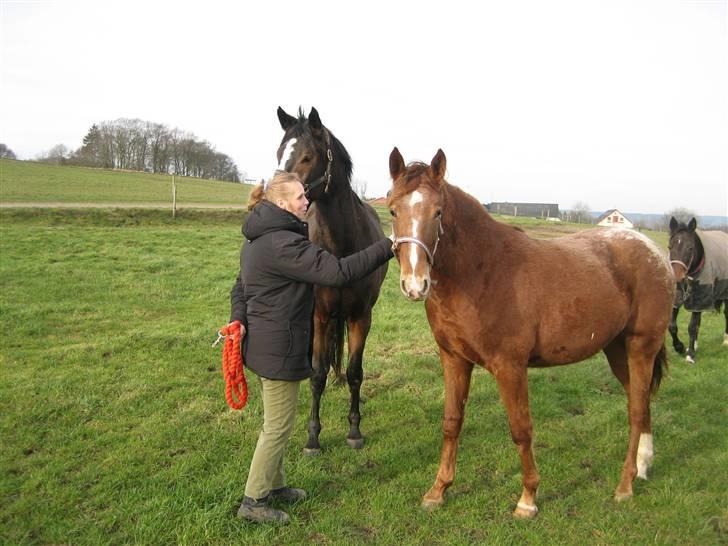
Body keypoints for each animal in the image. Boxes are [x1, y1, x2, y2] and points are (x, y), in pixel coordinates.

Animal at [274, 105, 386, 450]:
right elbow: (317, 373)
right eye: (279, 153)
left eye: (308, 157)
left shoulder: (361, 316)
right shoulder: (320, 315)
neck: (341, 247)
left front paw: (354, 430)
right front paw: (313, 436)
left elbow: (355, 372)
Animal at [386, 148, 676, 516]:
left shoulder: (510, 367)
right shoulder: (453, 359)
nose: (415, 284)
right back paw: (643, 467)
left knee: (637, 410)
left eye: (437, 212)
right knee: (641, 402)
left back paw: (624, 486)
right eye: (393, 209)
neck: (483, 271)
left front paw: (528, 499)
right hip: (617, 351)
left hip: (642, 347)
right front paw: (438, 491)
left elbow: (521, 429)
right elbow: (452, 422)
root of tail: (656, 254)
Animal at [668, 216, 724, 362]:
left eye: (690, 248)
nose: (676, 277)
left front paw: (690, 354)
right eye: (670, 247)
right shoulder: (677, 299)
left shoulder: (699, 300)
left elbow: (692, 327)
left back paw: (726, 340)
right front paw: (680, 347)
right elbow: (672, 326)